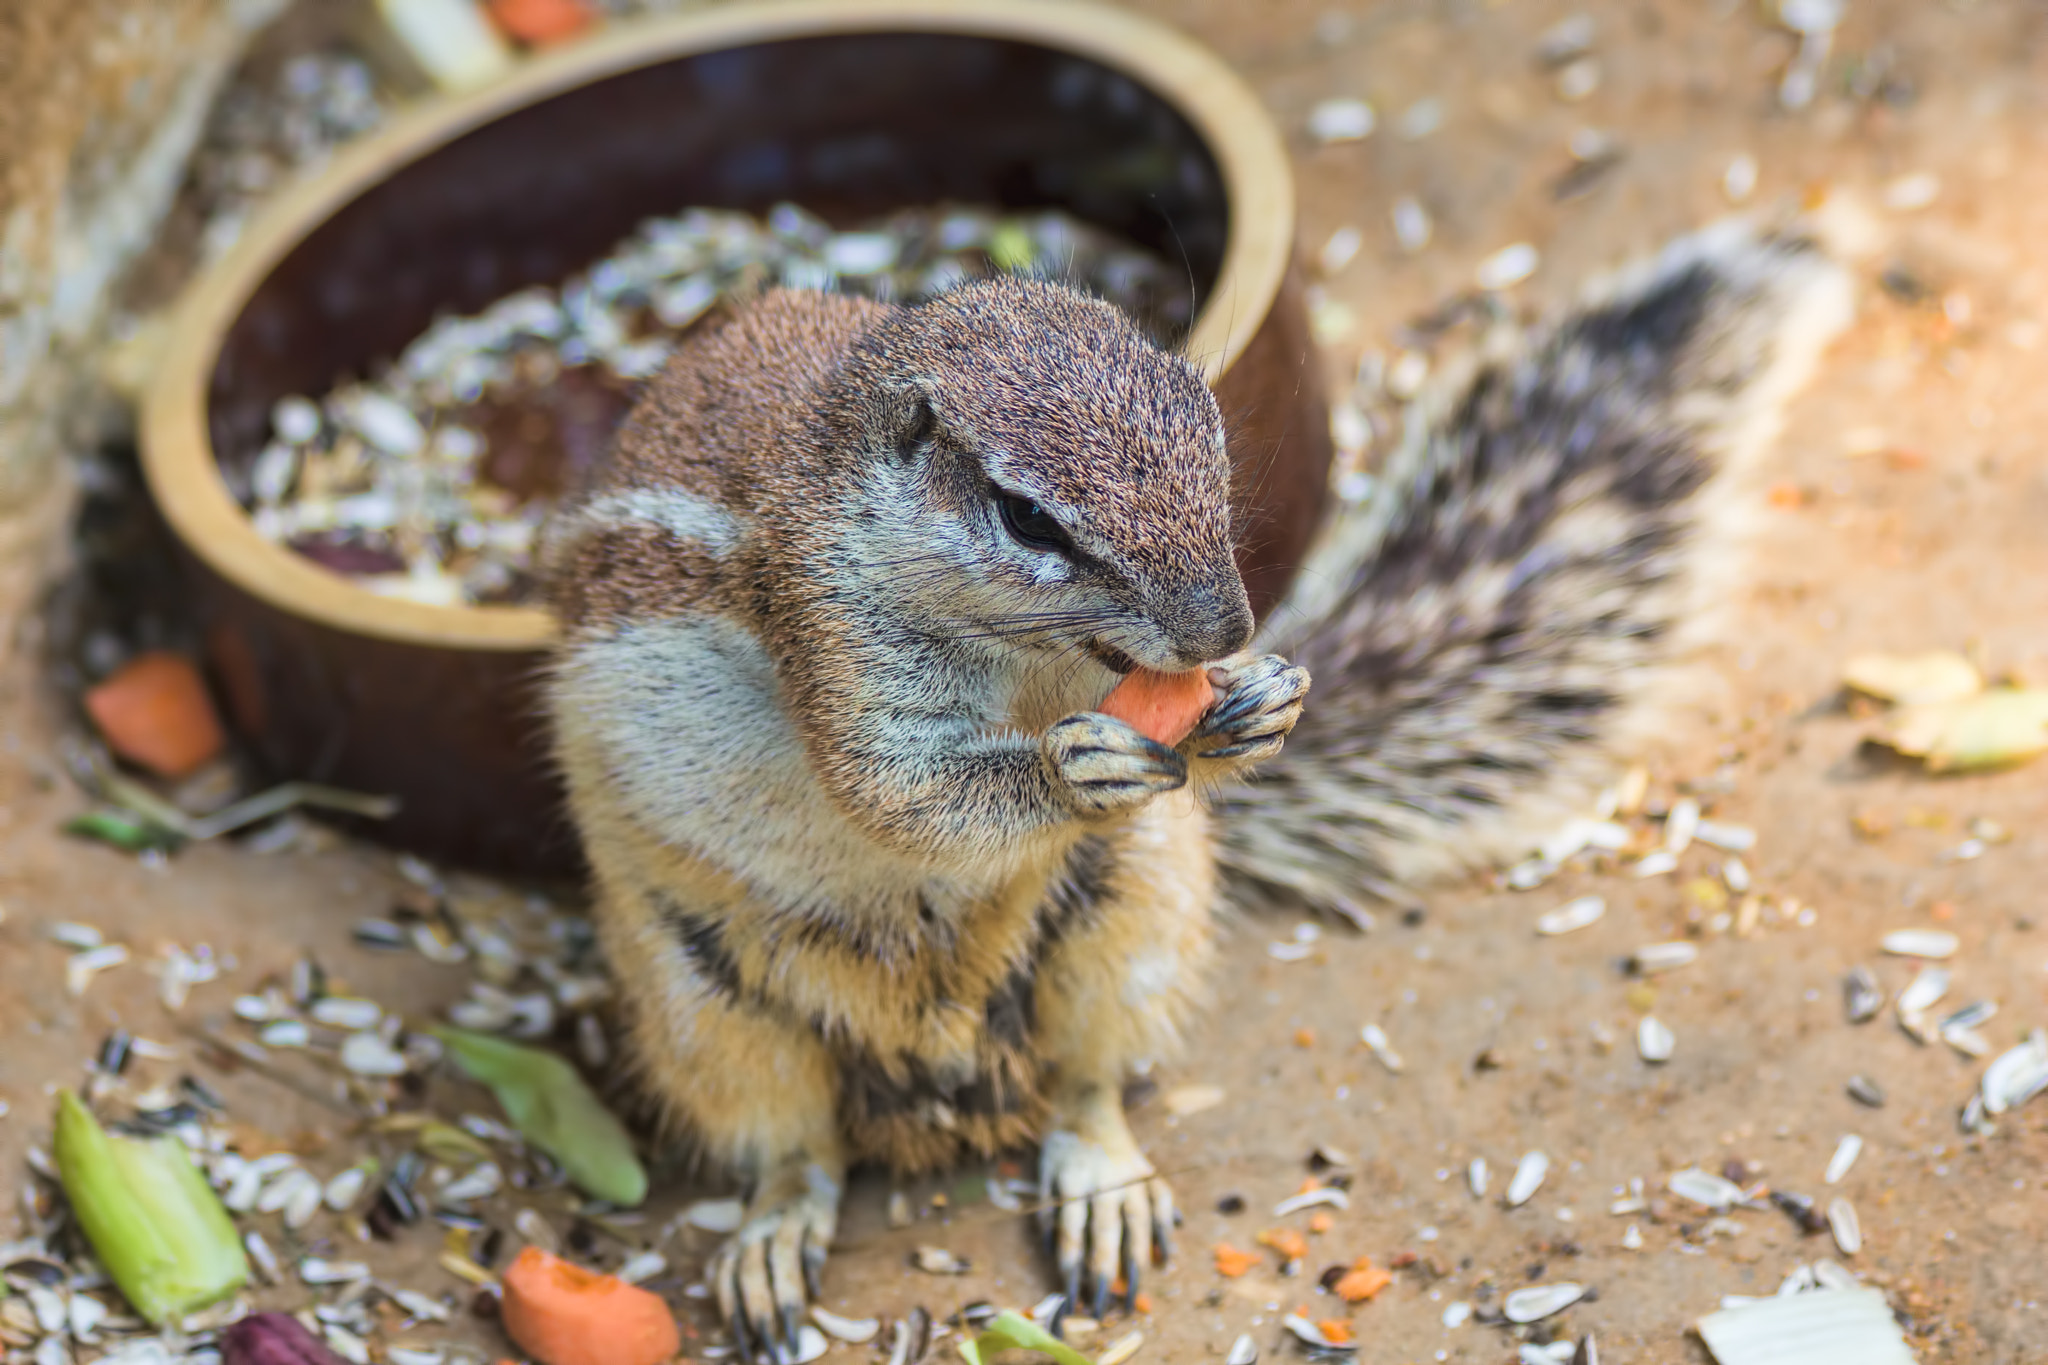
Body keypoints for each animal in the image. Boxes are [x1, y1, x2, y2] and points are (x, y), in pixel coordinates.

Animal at [545, 218, 1851, 1360]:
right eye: (1027, 518)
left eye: (1213, 439)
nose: (1226, 627)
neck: (1023, 663)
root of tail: (945, 1084)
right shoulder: (833, 645)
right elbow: (892, 790)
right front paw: (1079, 766)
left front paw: (1257, 701)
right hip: (704, 1011)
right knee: (793, 1154)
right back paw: (772, 1242)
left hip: (1129, 914)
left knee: (1086, 1087)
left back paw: (1102, 1189)